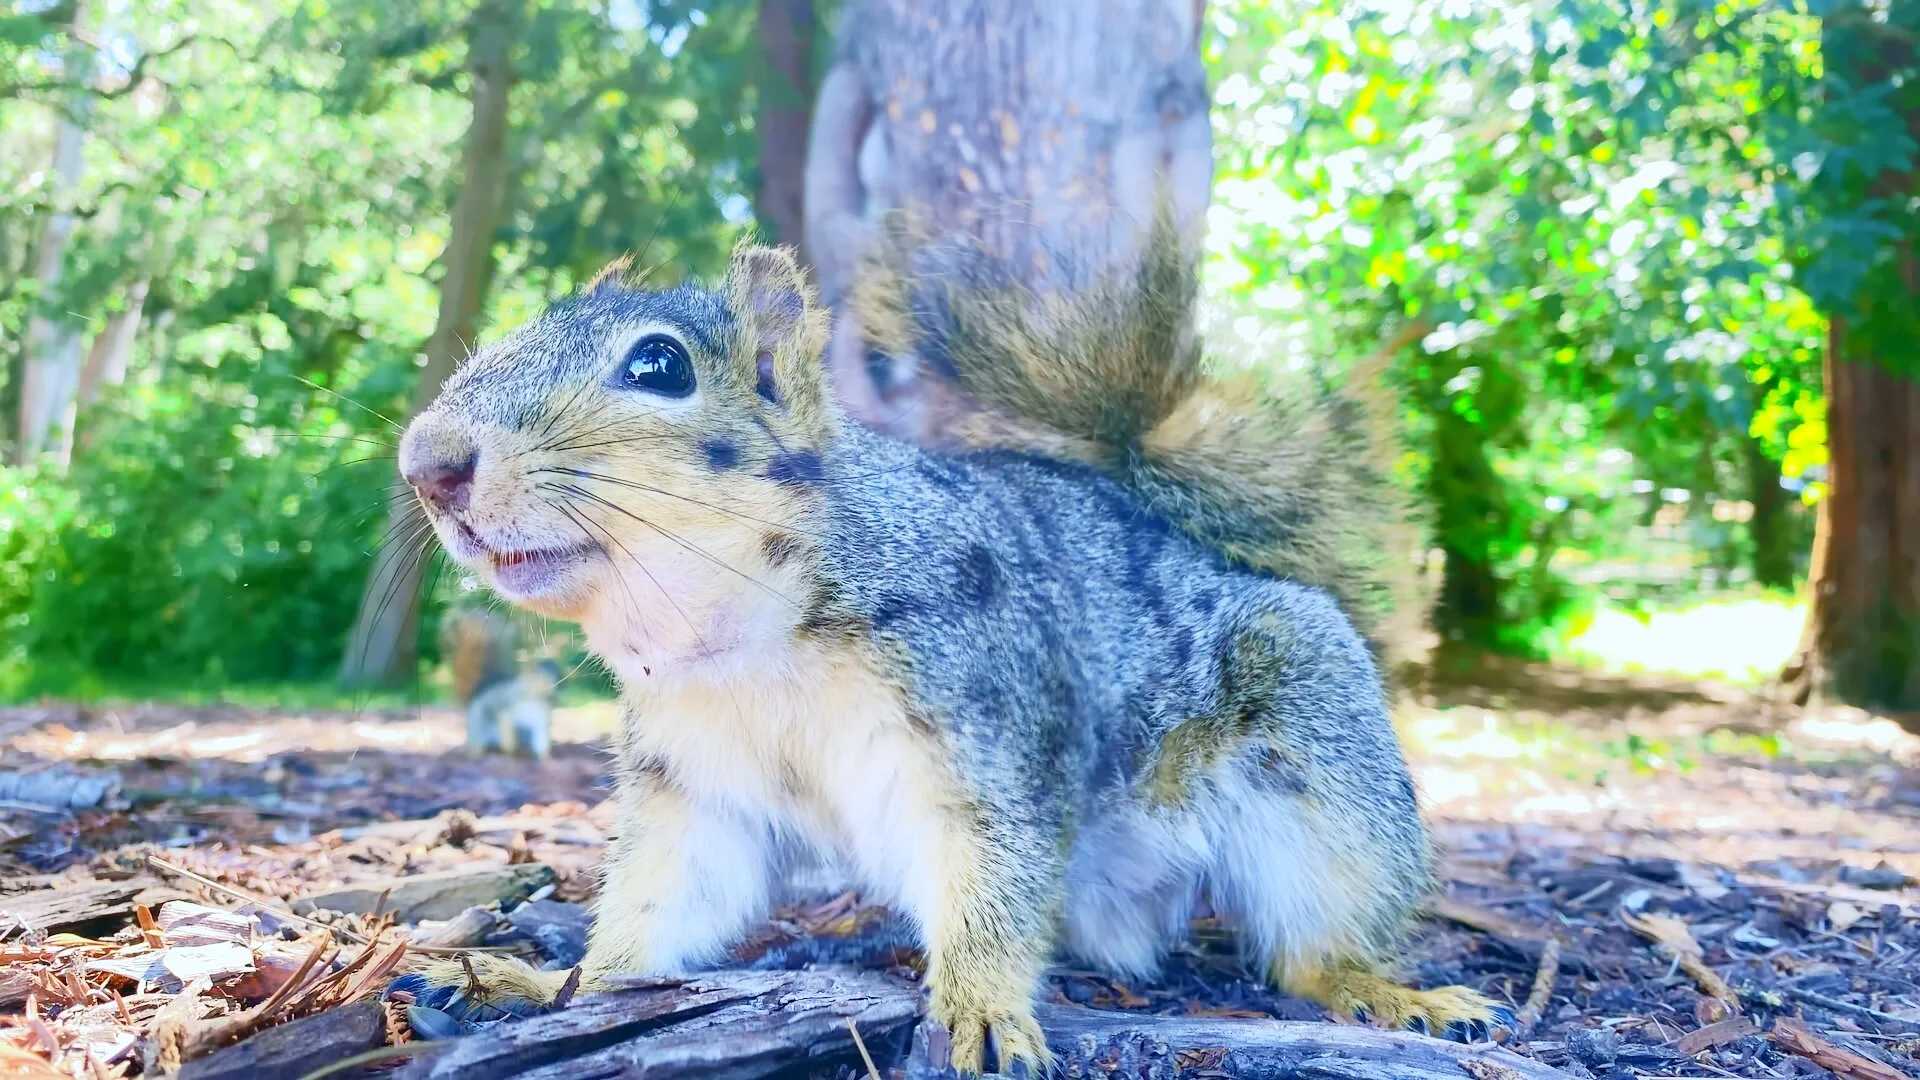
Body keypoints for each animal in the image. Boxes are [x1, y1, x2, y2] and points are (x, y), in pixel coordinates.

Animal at [438, 606, 556, 760]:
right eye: (535, 675)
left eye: (557, 676)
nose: (553, 691)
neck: (534, 698)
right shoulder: (507, 704)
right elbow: (506, 726)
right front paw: (510, 753)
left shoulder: (541, 720)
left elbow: (541, 739)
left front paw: (546, 758)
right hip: (478, 725)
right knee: (481, 743)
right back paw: (478, 754)